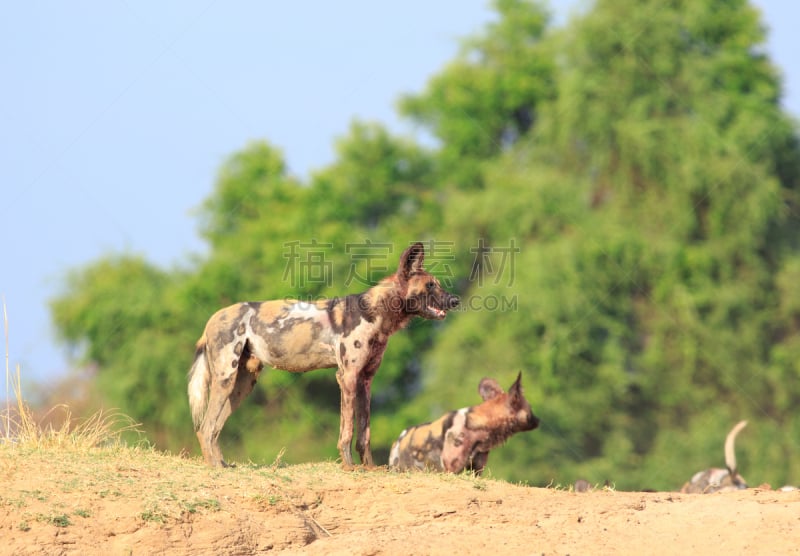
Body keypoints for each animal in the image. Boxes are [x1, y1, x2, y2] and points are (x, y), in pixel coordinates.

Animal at [188, 244, 460, 470]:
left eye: (437, 284)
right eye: (430, 286)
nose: (455, 300)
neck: (378, 314)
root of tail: (213, 318)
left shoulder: (365, 380)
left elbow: (364, 433)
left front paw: (370, 468)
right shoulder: (348, 377)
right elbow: (347, 431)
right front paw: (349, 467)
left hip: (242, 385)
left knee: (213, 429)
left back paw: (223, 464)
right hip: (226, 378)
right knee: (205, 427)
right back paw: (214, 467)